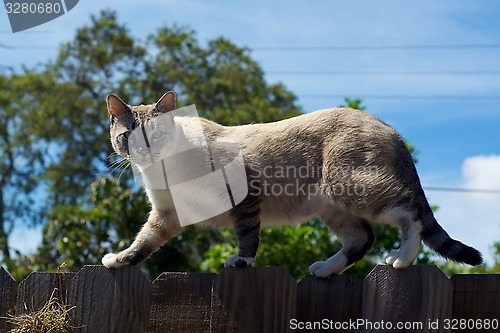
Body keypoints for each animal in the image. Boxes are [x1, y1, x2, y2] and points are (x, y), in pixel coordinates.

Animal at [100, 89, 480, 276]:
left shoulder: (245, 196)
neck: (163, 170)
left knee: (411, 212)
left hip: (350, 186)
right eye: (128, 138)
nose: (145, 152)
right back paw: (325, 270)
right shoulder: (167, 215)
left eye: (158, 135)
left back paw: (401, 258)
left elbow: (247, 236)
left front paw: (241, 263)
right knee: (363, 238)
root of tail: (388, 126)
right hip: (334, 206)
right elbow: (143, 243)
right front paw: (117, 260)